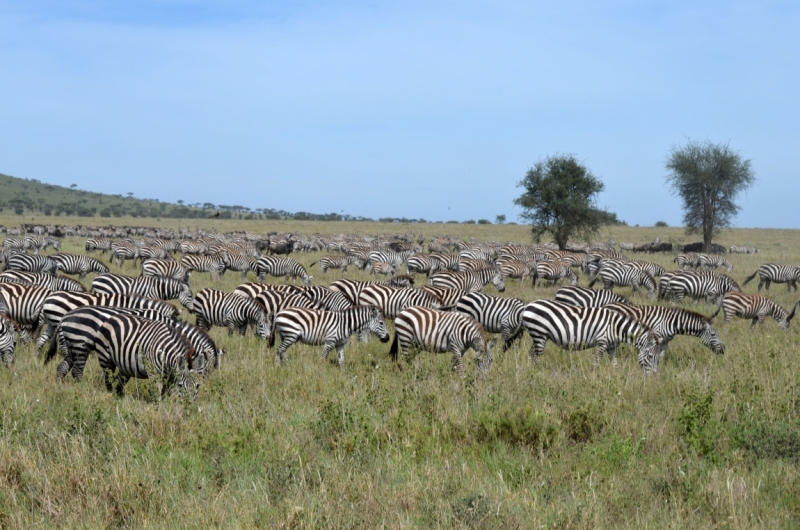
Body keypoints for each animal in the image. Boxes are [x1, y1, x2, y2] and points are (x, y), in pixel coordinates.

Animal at [520, 300, 664, 370]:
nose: (653, 377)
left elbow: (615, 363)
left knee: (530, 354)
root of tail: (528, 305)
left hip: (537, 336)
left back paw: (531, 371)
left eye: (658, 359)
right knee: (534, 355)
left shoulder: (612, 347)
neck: (616, 327)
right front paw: (593, 378)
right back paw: (538, 371)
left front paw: (616, 378)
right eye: (650, 356)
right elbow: (596, 361)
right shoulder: (602, 342)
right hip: (539, 334)